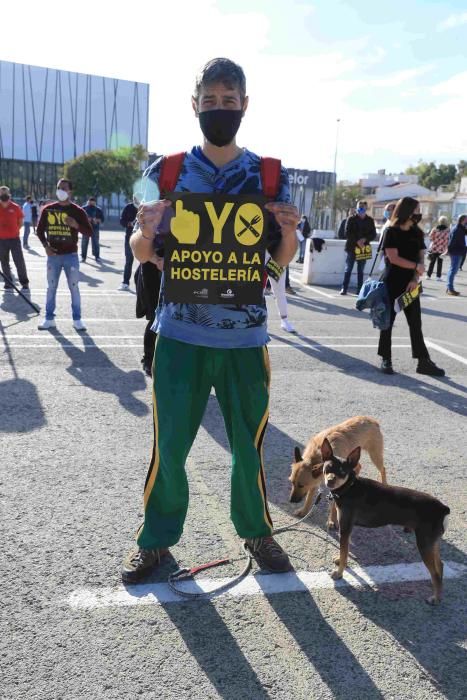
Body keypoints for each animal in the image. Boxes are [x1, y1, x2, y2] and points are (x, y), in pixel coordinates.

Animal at [324, 440, 452, 604]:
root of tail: (443, 509)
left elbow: (344, 551)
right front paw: (339, 560)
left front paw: (339, 573)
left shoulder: (345, 528)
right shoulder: (348, 528)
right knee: (440, 566)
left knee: (435, 573)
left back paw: (435, 598)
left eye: (342, 472)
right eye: (327, 468)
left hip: (424, 543)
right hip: (431, 542)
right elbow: (344, 551)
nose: (330, 480)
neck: (349, 487)